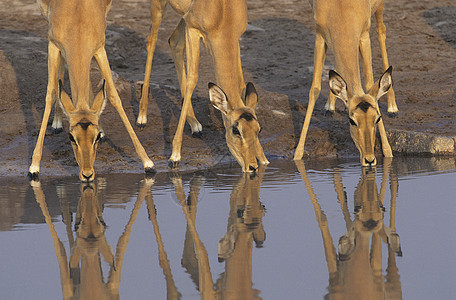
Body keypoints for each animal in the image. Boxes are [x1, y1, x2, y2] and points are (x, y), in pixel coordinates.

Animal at [30, 0, 156, 182]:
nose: (87, 174)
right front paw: (34, 167)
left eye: (95, 136)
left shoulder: (99, 49)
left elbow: (113, 95)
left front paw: (148, 163)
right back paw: (57, 122)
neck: (77, 20)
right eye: (71, 137)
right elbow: (51, 93)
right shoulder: (53, 44)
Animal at [137, 0, 268, 172]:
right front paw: (174, 157)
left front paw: (264, 159)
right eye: (235, 130)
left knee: (174, 43)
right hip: (160, 8)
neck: (223, 13)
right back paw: (142, 118)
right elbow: (193, 79)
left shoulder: (234, 40)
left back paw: (195, 126)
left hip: (184, 19)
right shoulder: (193, 30)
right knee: (151, 41)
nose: (251, 167)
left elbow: (241, 83)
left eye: (259, 129)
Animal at [294, 0, 398, 166]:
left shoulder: (364, 36)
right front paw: (297, 154)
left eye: (378, 118)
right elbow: (315, 89)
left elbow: (369, 84)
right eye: (352, 120)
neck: (341, 9)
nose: (369, 159)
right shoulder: (320, 35)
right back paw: (330, 106)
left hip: (379, 10)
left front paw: (388, 152)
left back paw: (393, 107)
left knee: (381, 31)